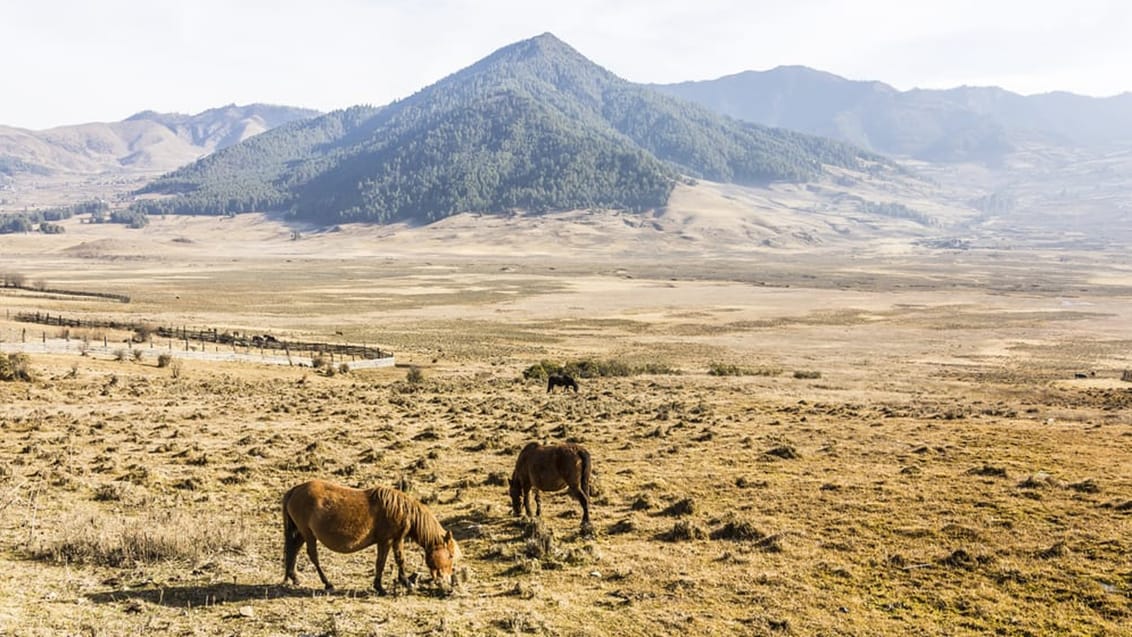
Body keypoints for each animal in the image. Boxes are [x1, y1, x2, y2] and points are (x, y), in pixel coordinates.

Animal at [281, 481, 459, 597]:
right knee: (313, 556)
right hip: (308, 533)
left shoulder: (397, 540)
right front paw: (380, 587)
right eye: (450, 555)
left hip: (302, 533)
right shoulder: (386, 541)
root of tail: (294, 490)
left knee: (294, 549)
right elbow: (381, 562)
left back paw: (293, 578)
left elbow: (400, 559)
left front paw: (406, 582)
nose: (447, 581)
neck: (402, 510)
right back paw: (327, 583)